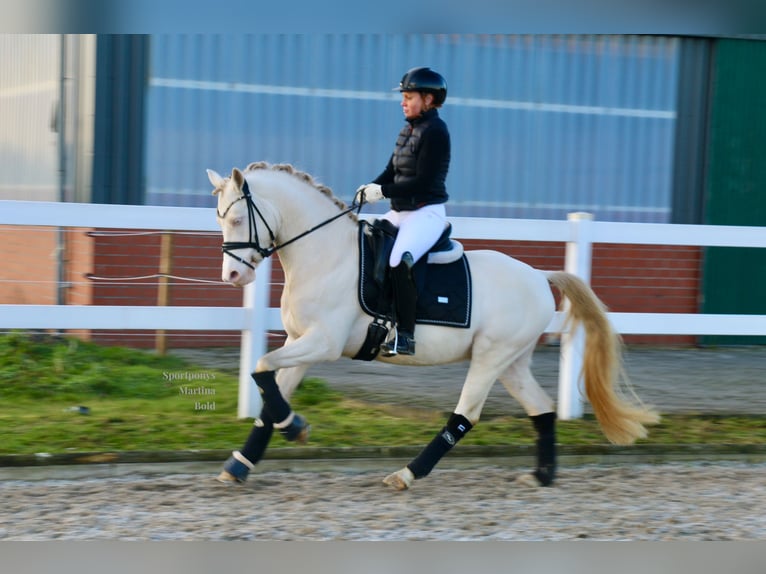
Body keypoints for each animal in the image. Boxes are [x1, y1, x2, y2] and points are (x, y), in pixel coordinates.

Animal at [206, 162, 660, 490]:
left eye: (237, 220)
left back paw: (407, 474)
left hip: (490, 358)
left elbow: (261, 368)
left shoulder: (324, 343)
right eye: (219, 219)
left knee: (466, 415)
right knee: (542, 409)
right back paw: (542, 476)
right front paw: (245, 460)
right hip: (511, 362)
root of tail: (538, 276)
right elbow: (270, 394)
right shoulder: (302, 341)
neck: (325, 254)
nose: (232, 276)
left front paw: (294, 428)